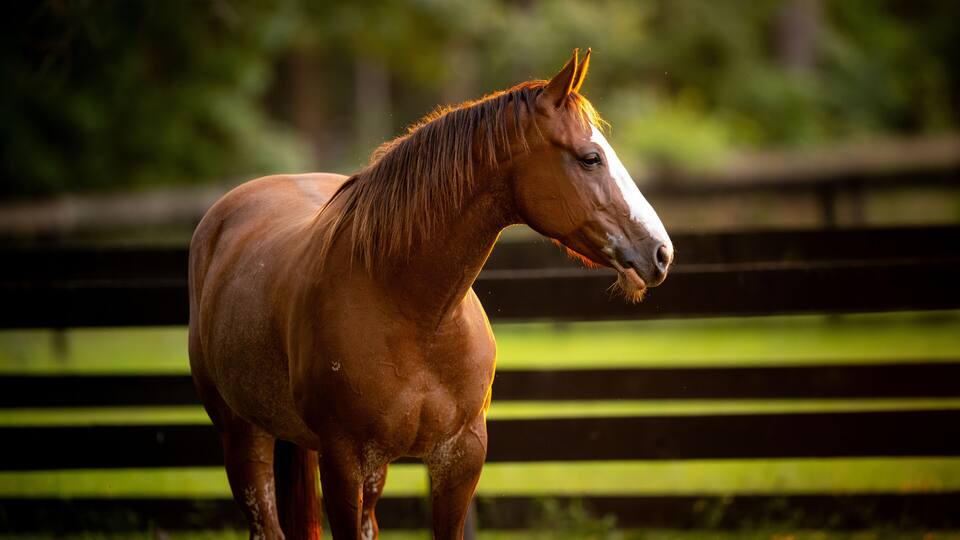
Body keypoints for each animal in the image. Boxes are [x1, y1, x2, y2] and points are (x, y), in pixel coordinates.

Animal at [188, 48, 673, 540]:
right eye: (591, 158)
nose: (661, 252)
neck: (416, 314)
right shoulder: (341, 460)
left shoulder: (460, 456)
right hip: (244, 439)